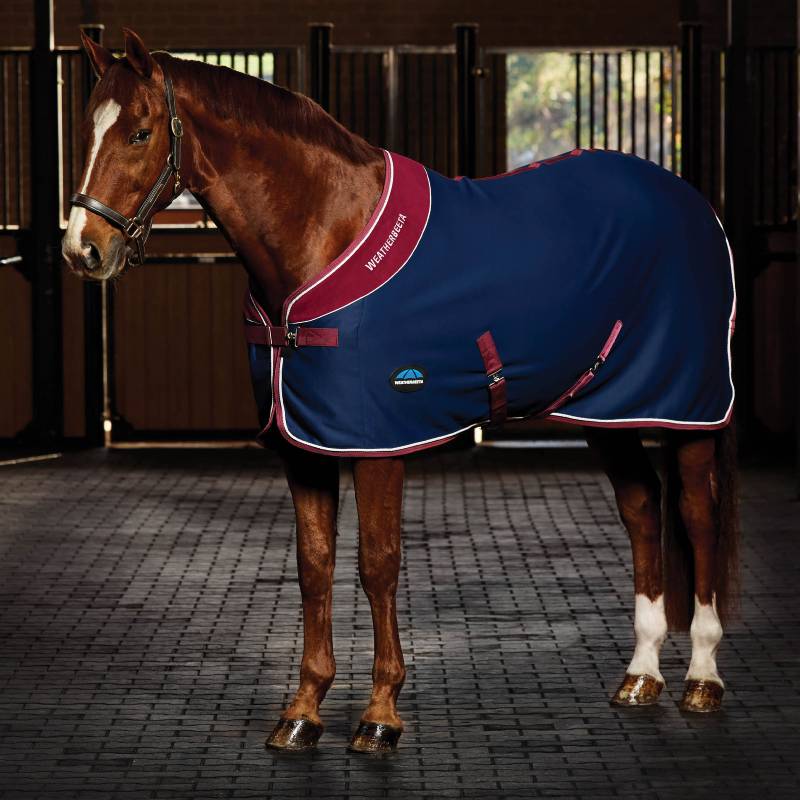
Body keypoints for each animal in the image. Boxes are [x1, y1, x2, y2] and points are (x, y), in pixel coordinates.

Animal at [62, 29, 739, 754]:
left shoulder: (377, 445)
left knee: (697, 517)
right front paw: (303, 710)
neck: (324, 232)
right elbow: (314, 567)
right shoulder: (303, 447)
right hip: (609, 408)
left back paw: (703, 677)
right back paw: (641, 675)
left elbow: (377, 565)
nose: (82, 250)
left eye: (139, 132)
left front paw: (380, 714)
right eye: (87, 129)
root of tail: (692, 204)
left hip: (688, 407)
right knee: (642, 509)